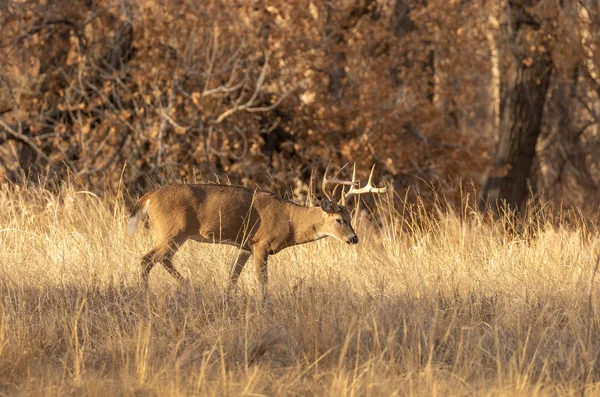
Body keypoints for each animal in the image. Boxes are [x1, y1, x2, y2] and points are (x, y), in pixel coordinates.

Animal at [129, 162, 386, 296]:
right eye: (339, 220)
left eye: (350, 217)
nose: (354, 238)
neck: (290, 221)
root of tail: (148, 197)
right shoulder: (261, 243)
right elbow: (263, 281)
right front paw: (264, 304)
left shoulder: (245, 245)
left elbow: (233, 275)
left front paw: (228, 297)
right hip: (172, 230)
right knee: (147, 259)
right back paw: (146, 293)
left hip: (174, 234)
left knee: (162, 259)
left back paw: (190, 286)